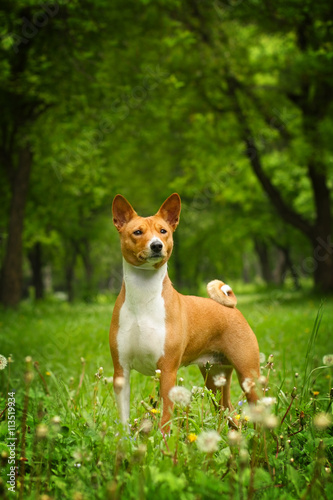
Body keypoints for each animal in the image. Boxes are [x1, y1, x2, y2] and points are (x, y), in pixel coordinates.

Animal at [109, 193, 260, 432]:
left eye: (163, 231)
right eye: (138, 232)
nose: (156, 245)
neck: (143, 298)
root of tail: (233, 309)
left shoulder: (167, 370)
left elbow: (165, 418)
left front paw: (163, 441)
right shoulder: (121, 371)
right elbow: (124, 420)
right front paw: (125, 440)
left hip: (248, 374)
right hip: (215, 377)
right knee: (229, 413)